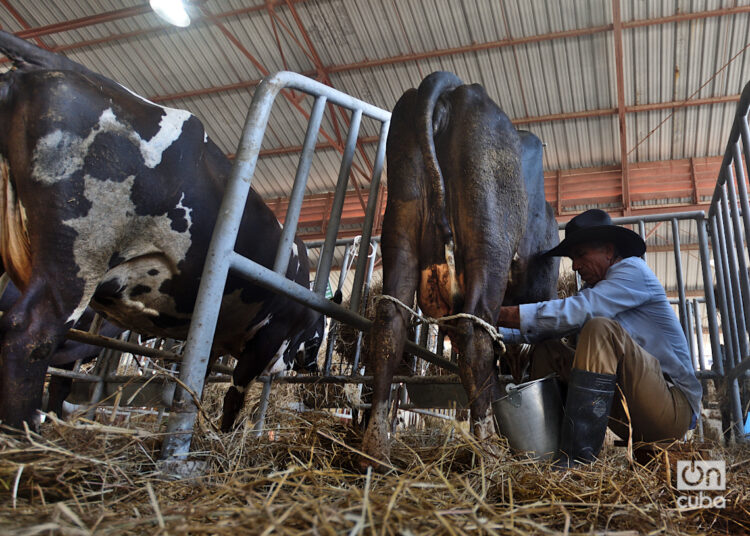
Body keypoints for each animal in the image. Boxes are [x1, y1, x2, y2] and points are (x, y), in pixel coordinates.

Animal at [0, 31, 320, 432]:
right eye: (317, 338)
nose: (314, 367)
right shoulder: (269, 336)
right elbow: (235, 393)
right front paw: (226, 435)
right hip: (78, 253)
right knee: (32, 335)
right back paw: (25, 432)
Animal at [362, 71, 560, 464]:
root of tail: (451, 86)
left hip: (401, 226)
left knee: (390, 322)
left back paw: (376, 446)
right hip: (489, 241)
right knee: (475, 334)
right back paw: (488, 445)